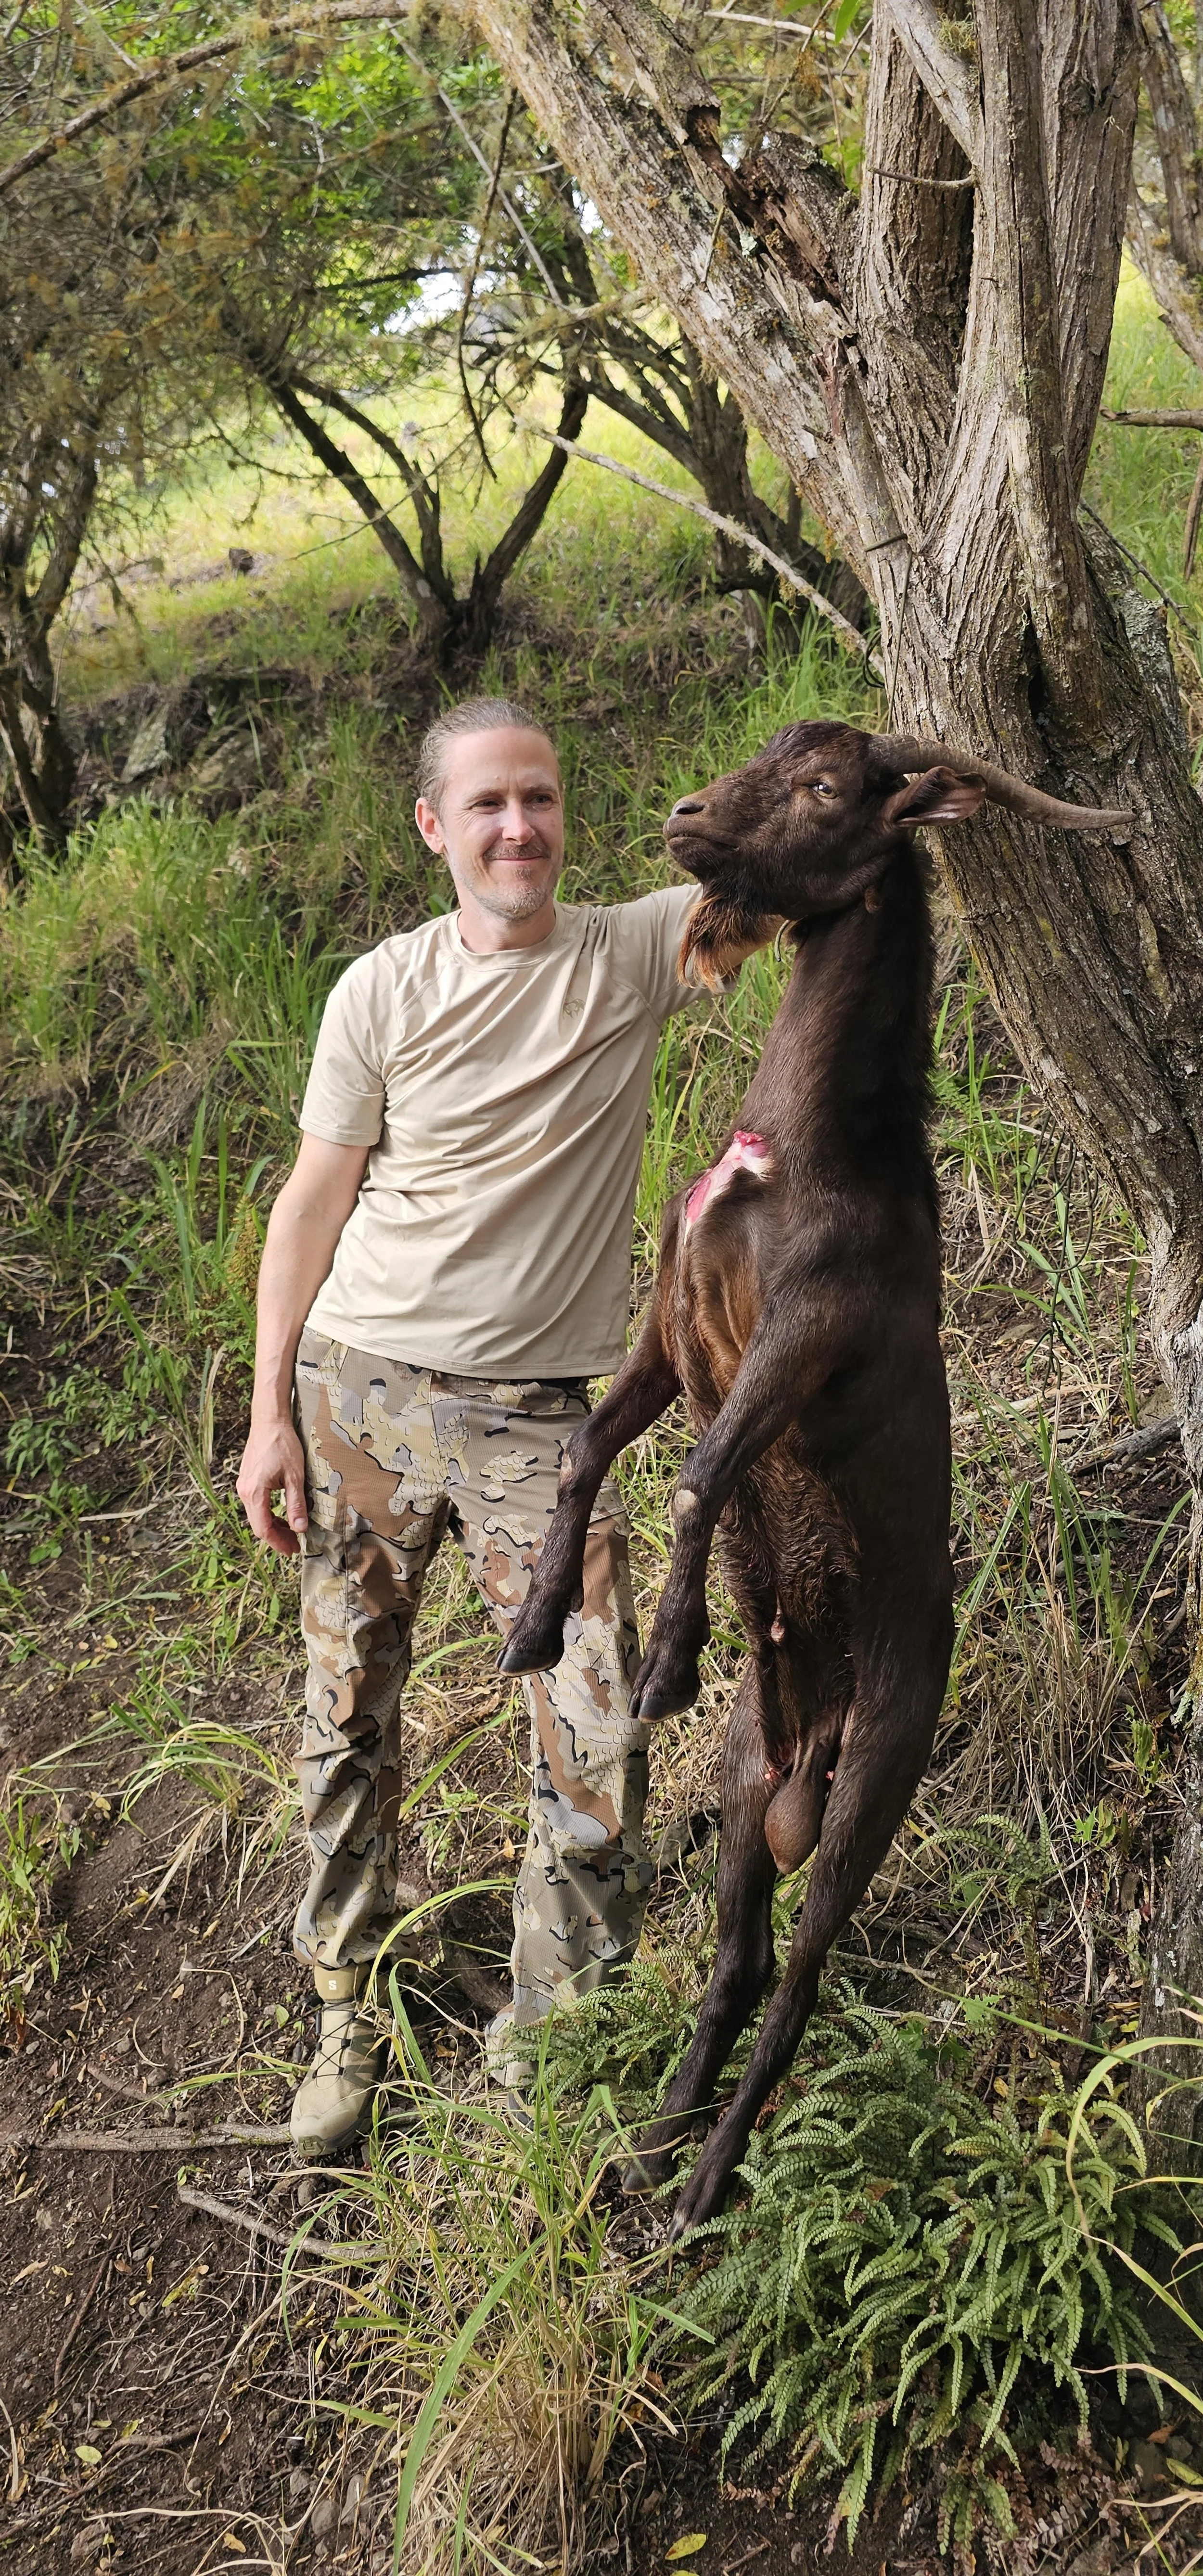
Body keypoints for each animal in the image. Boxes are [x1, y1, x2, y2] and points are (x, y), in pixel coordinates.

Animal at [500, 720, 1126, 2236]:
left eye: (831, 787)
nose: (683, 816)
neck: (802, 1144)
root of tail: (818, 1746)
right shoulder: (674, 1317)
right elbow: (596, 1448)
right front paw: (538, 1625)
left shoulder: (801, 1343)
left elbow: (696, 1473)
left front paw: (666, 1659)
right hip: (743, 1787)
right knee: (738, 1959)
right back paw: (656, 2154)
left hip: (881, 1777)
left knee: (801, 1974)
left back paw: (703, 2179)